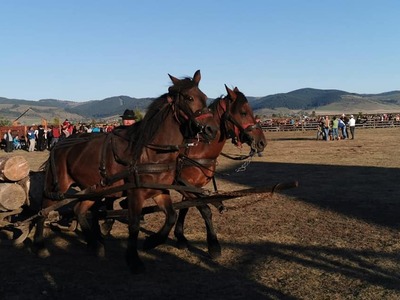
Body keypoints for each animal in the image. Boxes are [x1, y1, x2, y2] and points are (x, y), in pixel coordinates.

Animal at [32, 70, 217, 274]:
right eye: (189, 98)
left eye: (205, 97)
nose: (212, 129)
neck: (151, 152)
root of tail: (61, 143)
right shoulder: (135, 193)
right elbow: (134, 224)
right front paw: (134, 259)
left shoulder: (160, 191)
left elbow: (171, 216)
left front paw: (152, 242)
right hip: (57, 186)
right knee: (43, 210)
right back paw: (39, 245)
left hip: (94, 189)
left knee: (78, 210)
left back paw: (95, 244)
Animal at [172, 85, 266, 256]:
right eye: (243, 112)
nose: (262, 142)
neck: (197, 150)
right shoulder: (180, 183)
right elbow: (205, 209)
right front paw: (213, 245)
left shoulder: (192, 185)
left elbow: (185, 207)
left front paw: (180, 237)